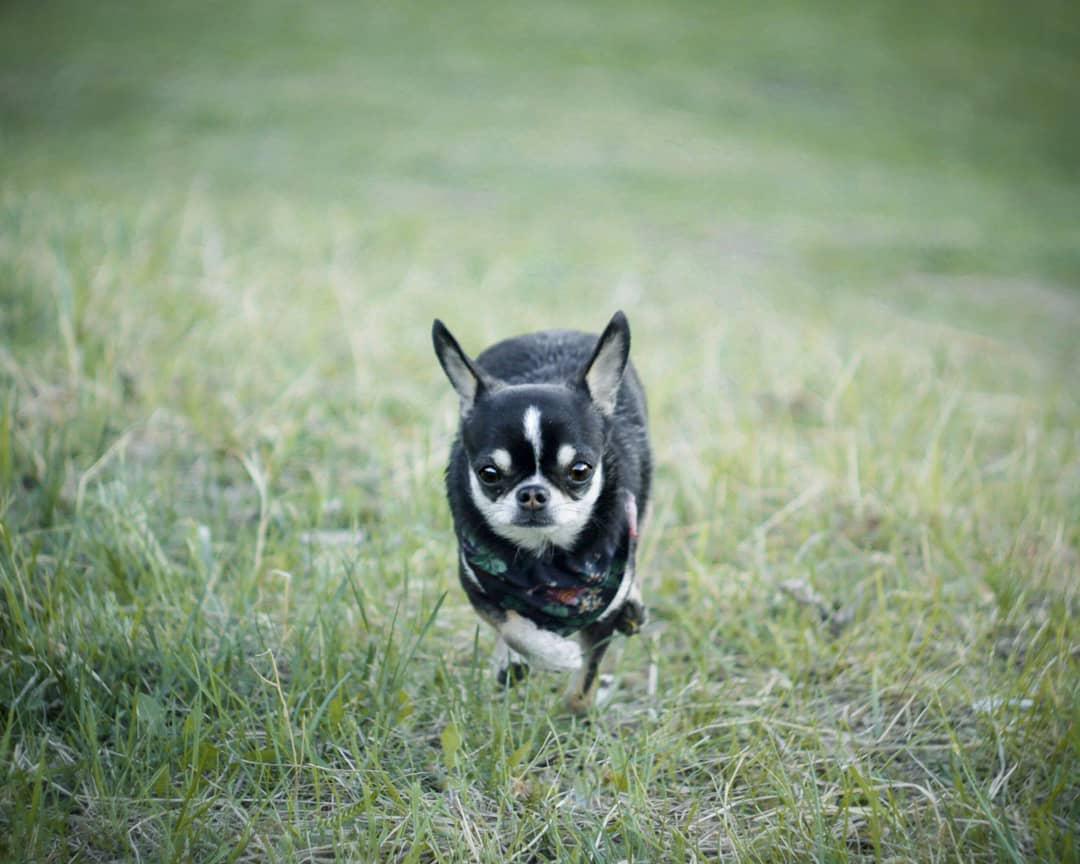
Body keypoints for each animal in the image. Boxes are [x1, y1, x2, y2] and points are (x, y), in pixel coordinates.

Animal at [432, 311, 651, 712]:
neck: (545, 558)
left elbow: (583, 688)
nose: (533, 493)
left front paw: (575, 710)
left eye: (580, 471)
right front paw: (553, 654)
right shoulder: (477, 584)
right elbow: (513, 626)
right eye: (489, 474)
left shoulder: (604, 602)